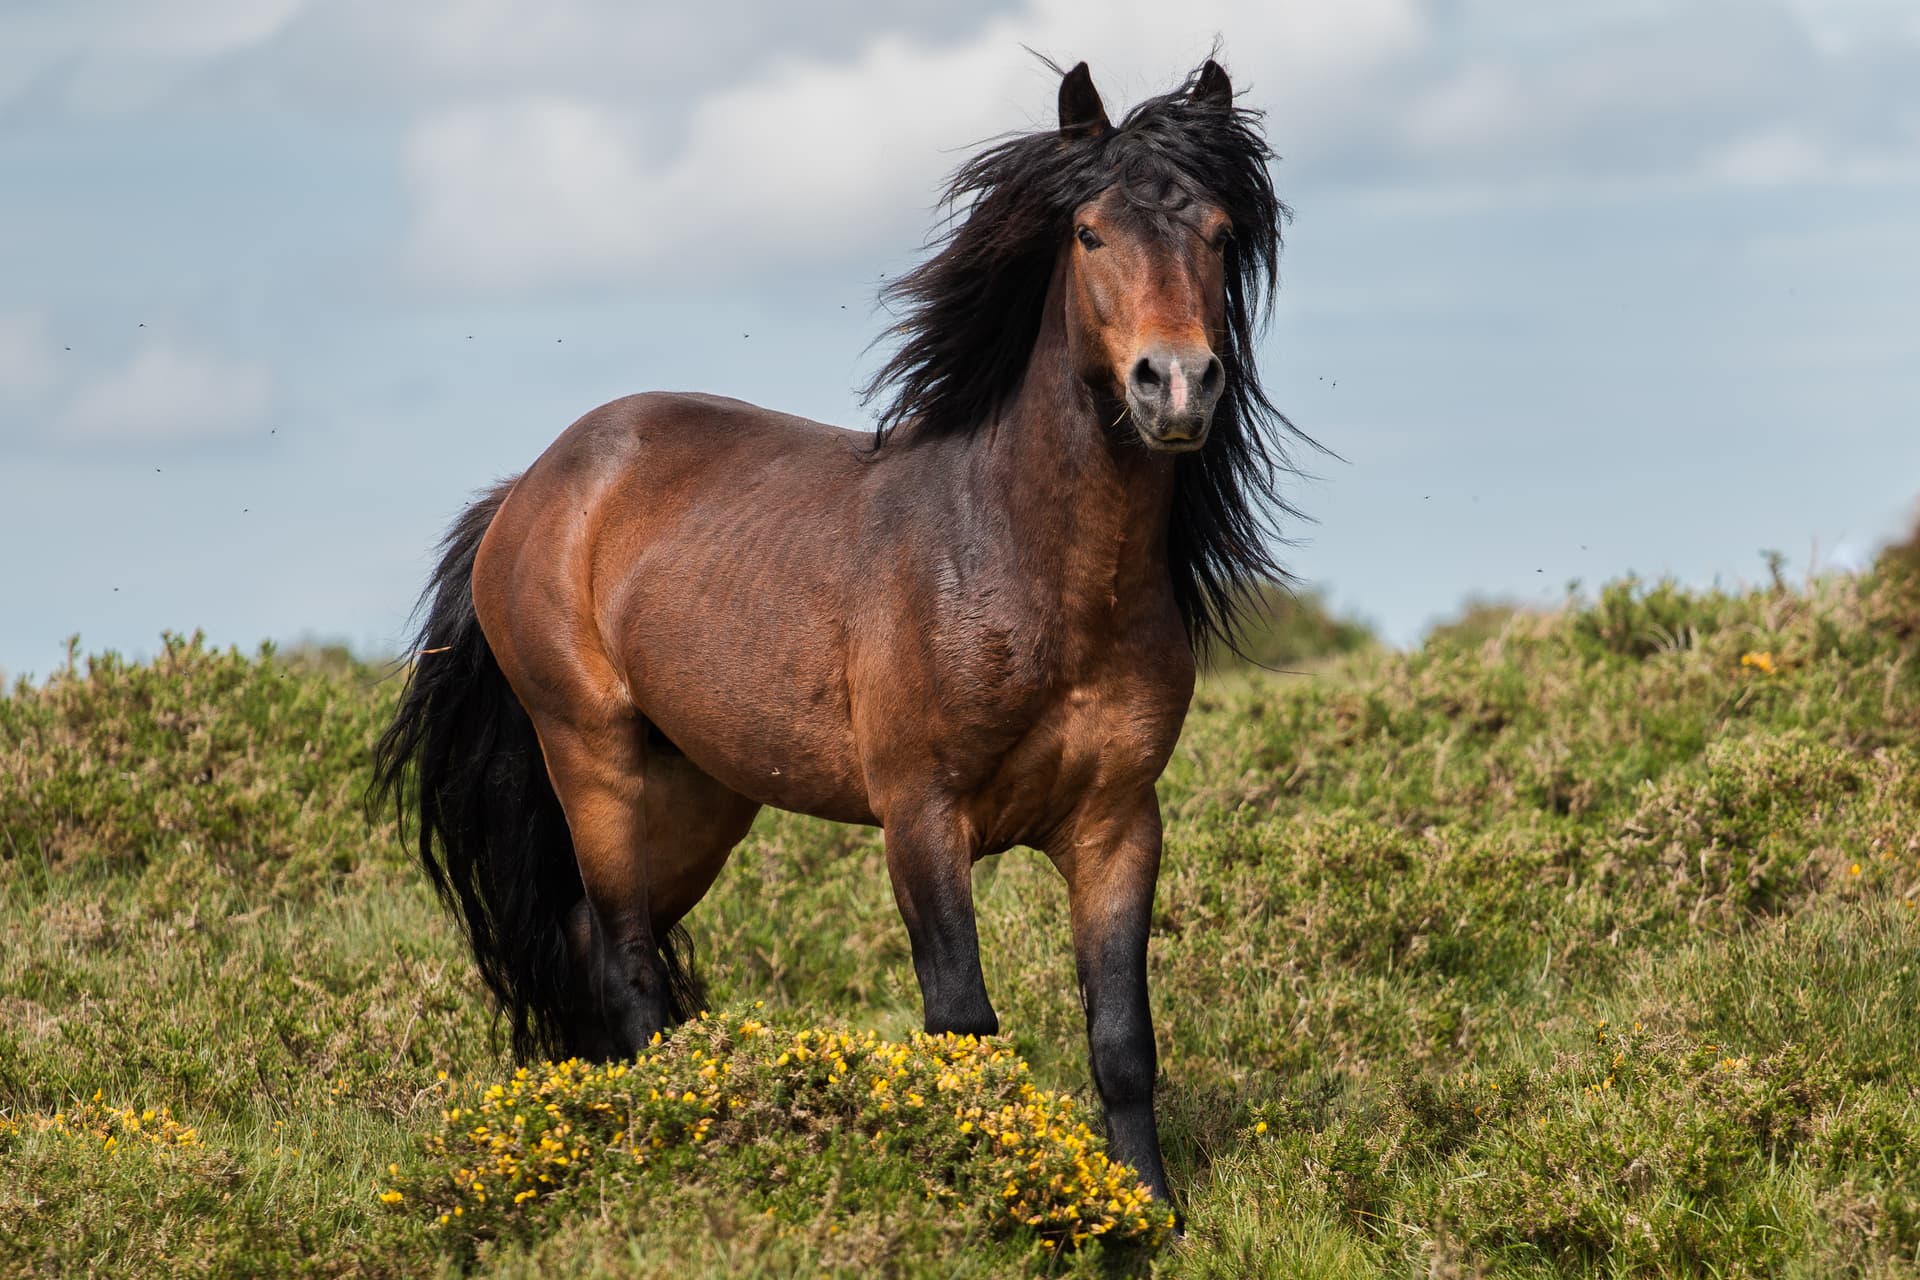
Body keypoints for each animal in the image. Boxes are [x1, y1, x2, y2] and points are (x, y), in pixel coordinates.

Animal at [371, 56, 1301, 1215]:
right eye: (1089, 232)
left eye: (1219, 232)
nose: (1176, 383)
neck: (1027, 568)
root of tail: (534, 486)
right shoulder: (921, 816)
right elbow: (964, 1027)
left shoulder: (1119, 824)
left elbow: (1124, 1038)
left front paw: (1153, 1214)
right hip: (593, 759)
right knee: (626, 964)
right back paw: (646, 1151)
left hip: (699, 798)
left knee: (596, 948)